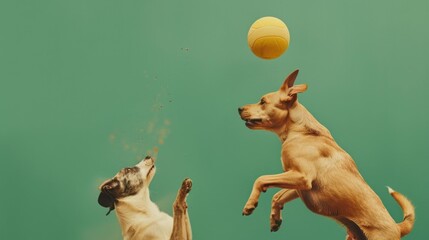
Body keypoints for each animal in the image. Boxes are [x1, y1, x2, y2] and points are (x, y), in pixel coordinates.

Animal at [239, 70, 412, 240]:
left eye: (262, 101)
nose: (239, 108)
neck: (302, 132)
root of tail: (397, 227)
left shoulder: (302, 177)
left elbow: (261, 179)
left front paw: (250, 204)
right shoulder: (298, 185)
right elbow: (277, 196)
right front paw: (275, 218)